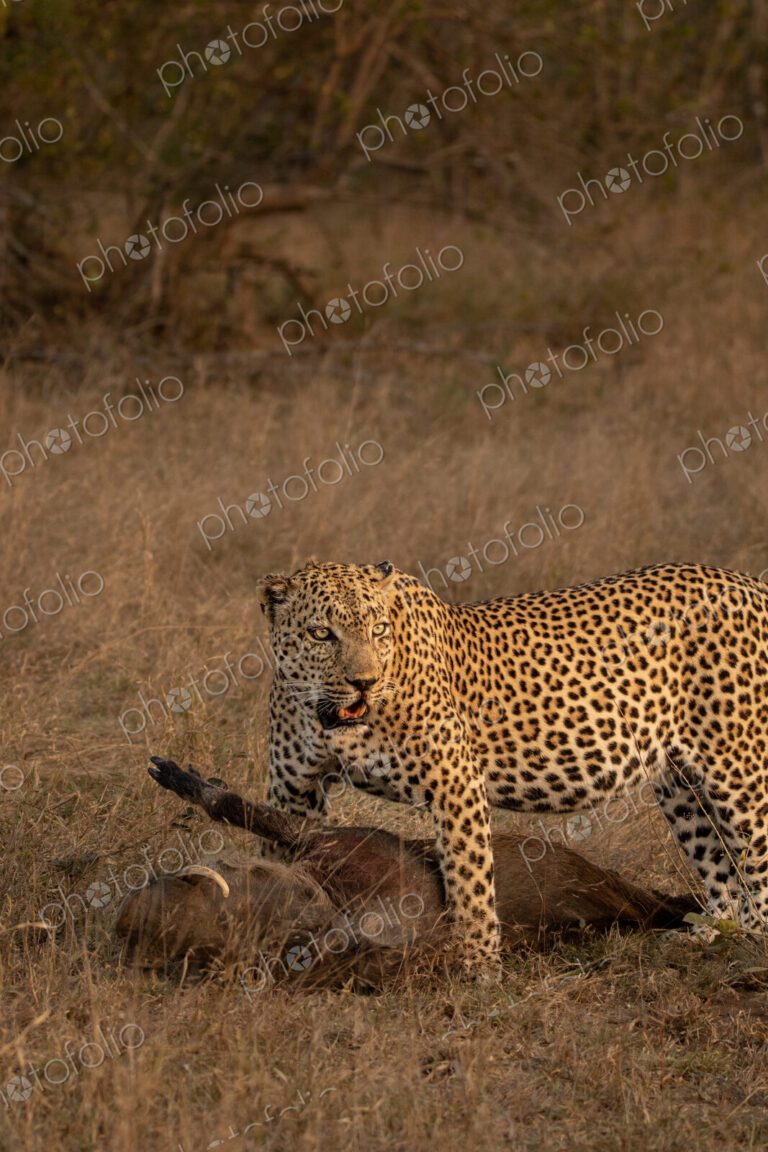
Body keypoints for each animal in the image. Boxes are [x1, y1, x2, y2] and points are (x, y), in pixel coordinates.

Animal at [258, 558, 768, 972]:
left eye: (378, 630)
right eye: (321, 634)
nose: (364, 682)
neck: (329, 719)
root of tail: (750, 583)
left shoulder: (455, 782)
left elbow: (469, 879)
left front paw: (478, 966)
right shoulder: (292, 790)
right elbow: (271, 860)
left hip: (741, 769)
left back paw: (751, 949)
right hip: (682, 786)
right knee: (719, 864)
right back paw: (708, 936)